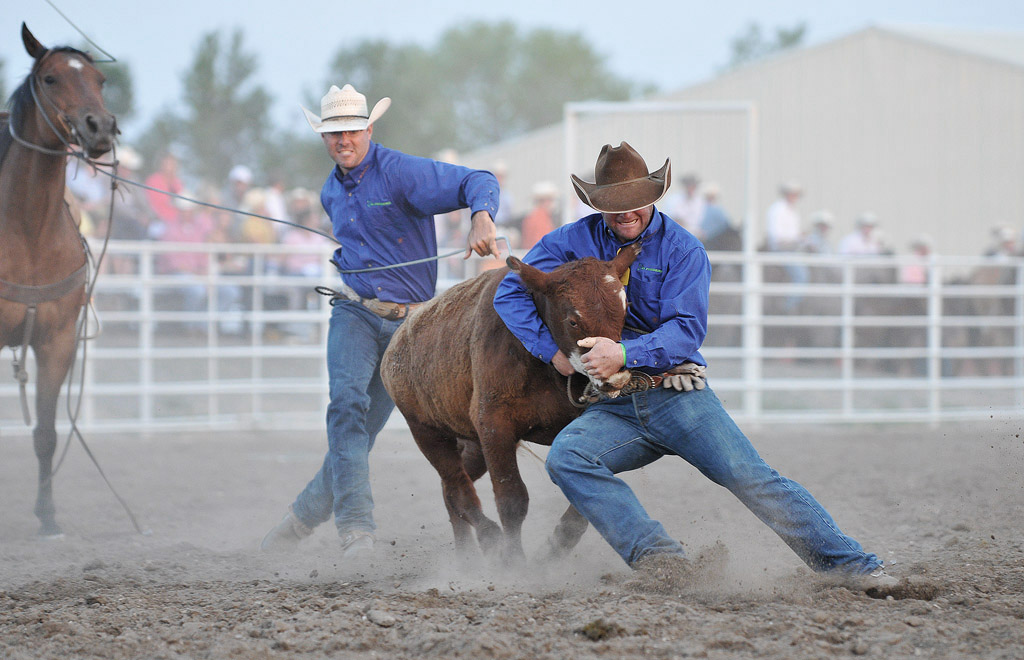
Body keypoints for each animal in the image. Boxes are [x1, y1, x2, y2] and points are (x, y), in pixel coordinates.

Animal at [380, 247, 634, 560]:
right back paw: (487, 541)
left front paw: (554, 547)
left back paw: (466, 558)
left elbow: (588, 499)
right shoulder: (494, 426)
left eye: (623, 309)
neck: (544, 365)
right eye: (573, 320)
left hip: (475, 445)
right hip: (427, 432)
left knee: (453, 489)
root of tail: (397, 341)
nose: (616, 376)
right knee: (457, 489)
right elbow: (512, 500)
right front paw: (513, 561)